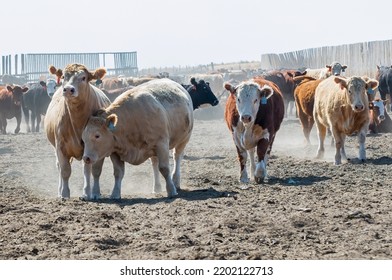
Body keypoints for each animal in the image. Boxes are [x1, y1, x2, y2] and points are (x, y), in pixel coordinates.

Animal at [43, 63, 118, 199]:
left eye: (83, 77)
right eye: (63, 76)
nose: (68, 89)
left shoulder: (97, 146)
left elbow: (94, 170)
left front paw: (92, 192)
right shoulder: (60, 146)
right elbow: (65, 170)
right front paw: (64, 193)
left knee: (87, 167)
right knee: (59, 167)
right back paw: (60, 191)